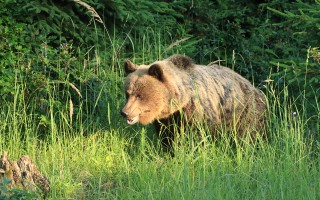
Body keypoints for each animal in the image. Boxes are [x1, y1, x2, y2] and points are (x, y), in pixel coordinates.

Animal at [121, 54, 266, 145]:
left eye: (139, 95)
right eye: (128, 93)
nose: (124, 112)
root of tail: (254, 87)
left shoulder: (198, 109)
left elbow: (200, 134)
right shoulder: (168, 119)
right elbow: (167, 136)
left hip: (243, 111)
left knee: (248, 135)